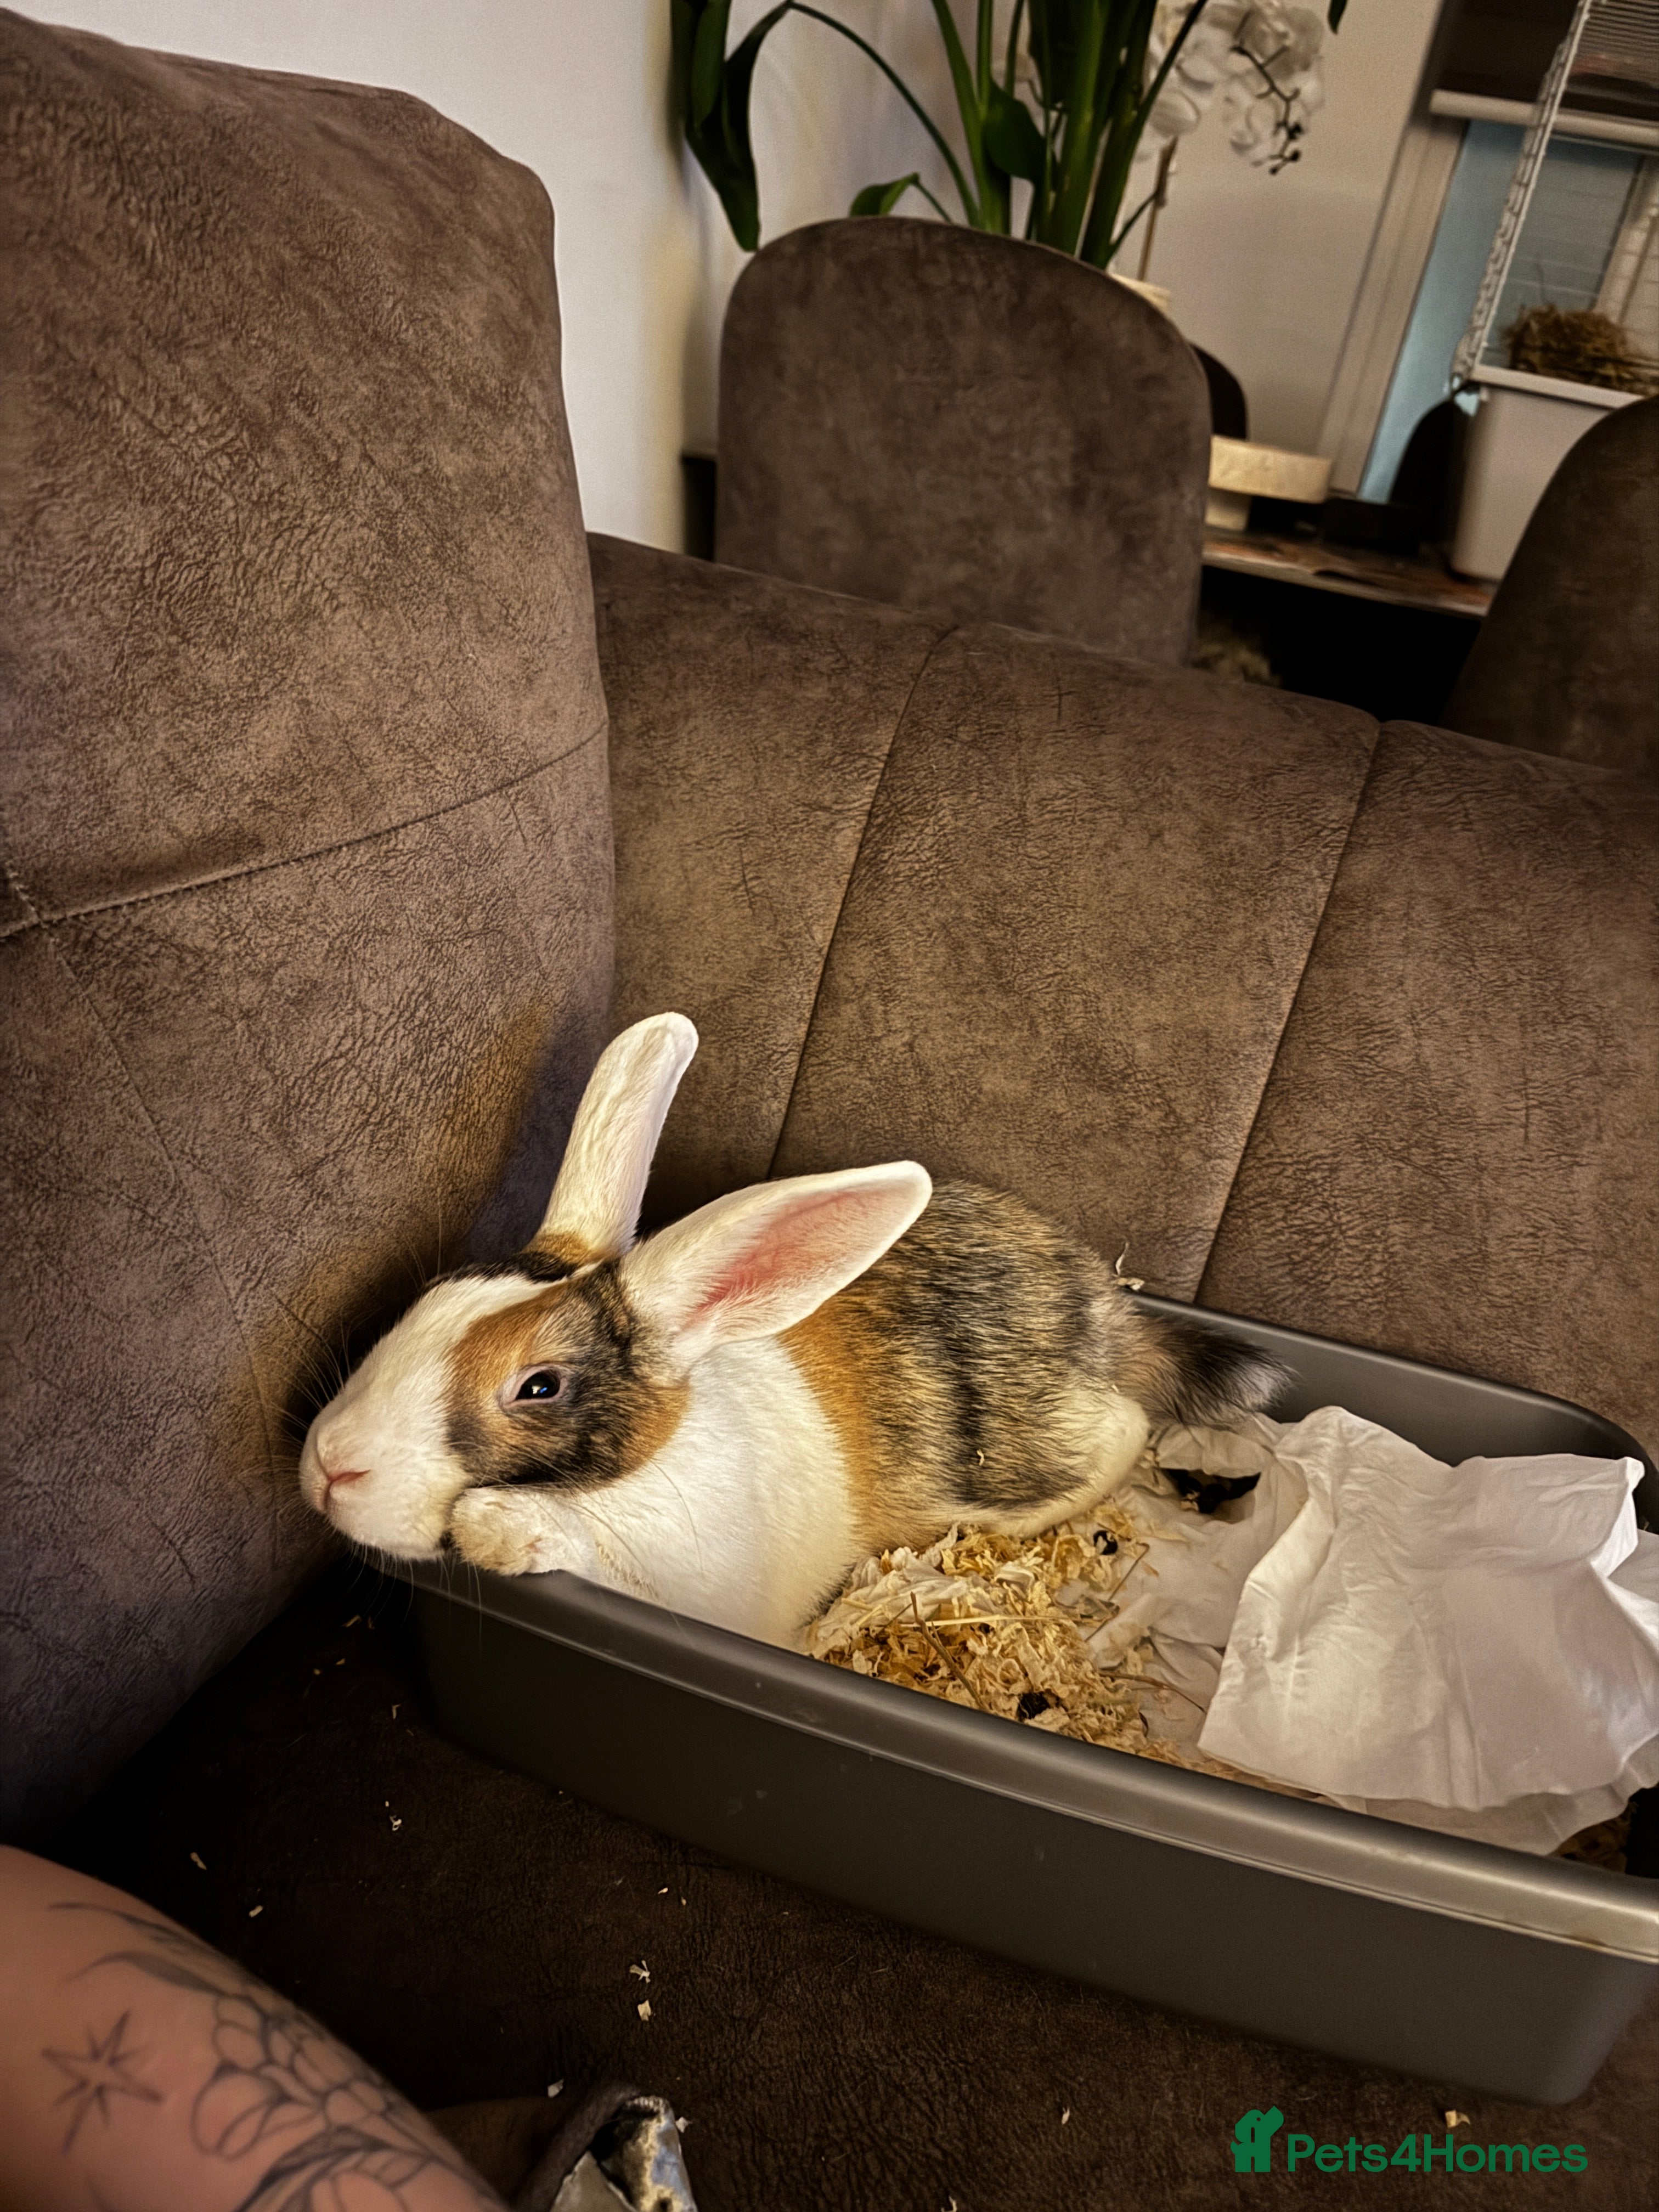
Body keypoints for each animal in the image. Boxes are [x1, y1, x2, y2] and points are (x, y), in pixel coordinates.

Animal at [299, 1012, 1286, 1646]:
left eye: (538, 1386)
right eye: (429, 1299)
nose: (328, 1466)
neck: (638, 1476)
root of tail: (1106, 1313)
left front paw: (499, 1527)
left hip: (1045, 1456)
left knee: (1122, 1431)